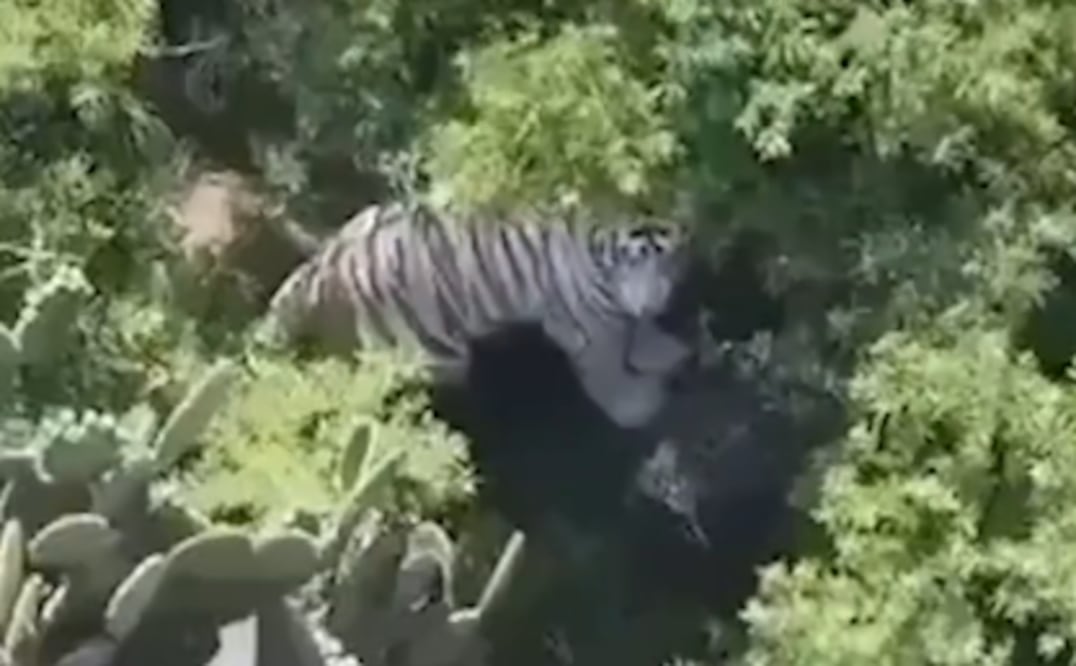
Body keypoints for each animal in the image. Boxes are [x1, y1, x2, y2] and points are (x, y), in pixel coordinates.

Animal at [255, 200, 697, 428]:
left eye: (672, 260)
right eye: (636, 260)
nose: (656, 300)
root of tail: (326, 267)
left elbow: (637, 334)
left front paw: (662, 350)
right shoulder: (587, 325)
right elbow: (609, 368)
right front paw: (639, 406)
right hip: (438, 354)